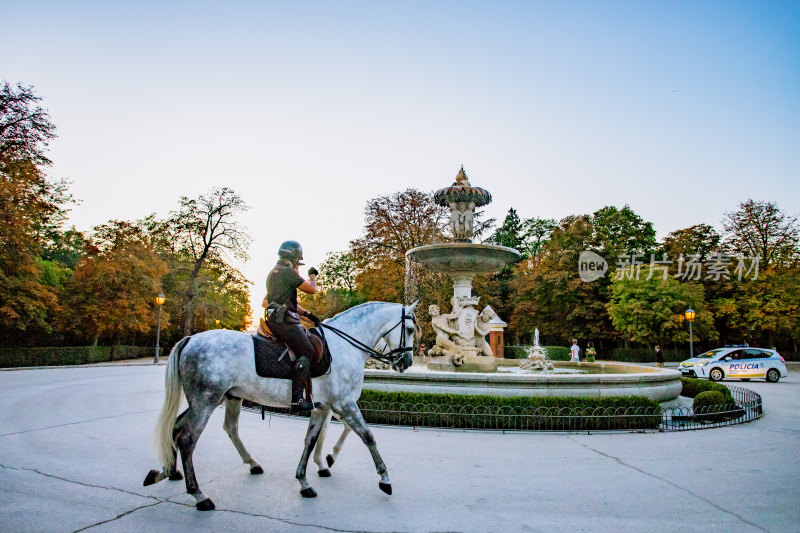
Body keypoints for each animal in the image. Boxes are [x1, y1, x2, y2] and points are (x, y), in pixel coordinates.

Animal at [145, 302, 418, 510]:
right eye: (410, 329)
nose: (406, 361)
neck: (344, 346)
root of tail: (191, 338)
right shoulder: (345, 404)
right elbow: (367, 436)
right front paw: (384, 478)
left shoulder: (323, 407)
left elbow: (311, 440)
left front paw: (305, 480)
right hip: (206, 400)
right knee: (188, 439)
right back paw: (199, 494)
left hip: (222, 398)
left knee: (188, 427)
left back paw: (169, 471)